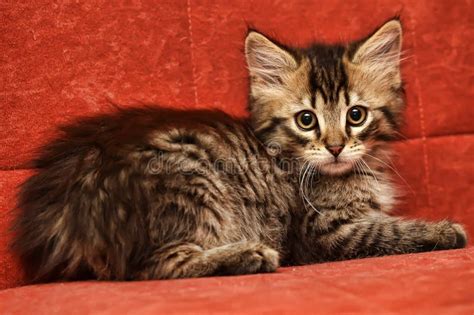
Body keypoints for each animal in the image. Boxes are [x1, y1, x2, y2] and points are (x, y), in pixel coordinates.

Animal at [10, 18, 466, 282]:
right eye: (306, 120)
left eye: (356, 115)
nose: (336, 147)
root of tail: (69, 201)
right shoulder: (325, 231)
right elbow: (389, 231)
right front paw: (444, 230)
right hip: (190, 179)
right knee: (153, 269)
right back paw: (249, 255)